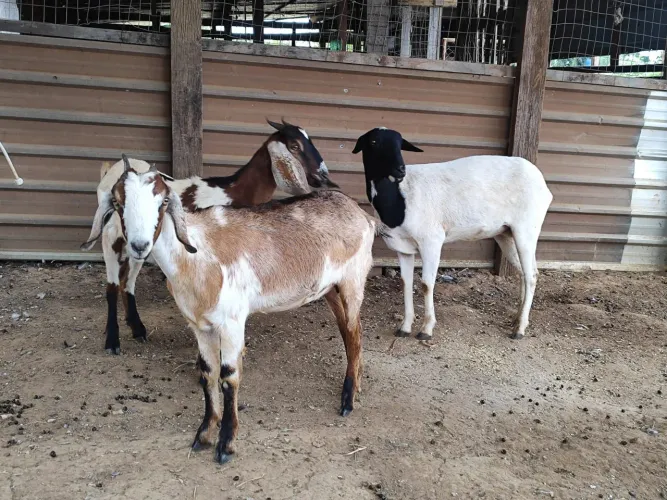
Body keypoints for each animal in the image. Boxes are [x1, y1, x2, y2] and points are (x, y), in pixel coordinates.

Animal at [81, 120, 336, 355]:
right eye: (294, 146)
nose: (323, 176)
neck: (234, 192)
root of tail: (110, 172)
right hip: (112, 237)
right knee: (112, 285)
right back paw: (112, 341)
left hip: (137, 245)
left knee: (128, 281)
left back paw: (137, 329)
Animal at [87, 157, 378, 464]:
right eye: (118, 202)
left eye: (163, 201)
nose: (139, 245)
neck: (197, 255)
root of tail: (361, 214)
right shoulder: (199, 325)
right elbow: (208, 373)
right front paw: (204, 433)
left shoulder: (232, 322)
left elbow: (228, 377)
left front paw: (226, 444)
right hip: (330, 288)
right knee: (348, 332)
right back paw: (355, 386)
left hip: (353, 280)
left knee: (355, 334)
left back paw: (347, 401)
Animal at [353, 127, 553, 340]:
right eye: (374, 142)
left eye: (400, 144)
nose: (400, 169)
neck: (399, 195)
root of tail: (542, 183)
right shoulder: (403, 247)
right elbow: (406, 283)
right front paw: (405, 327)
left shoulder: (431, 241)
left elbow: (426, 284)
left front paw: (426, 329)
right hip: (506, 234)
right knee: (523, 273)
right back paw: (518, 318)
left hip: (527, 229)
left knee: (531, 275)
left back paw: (519, 329)